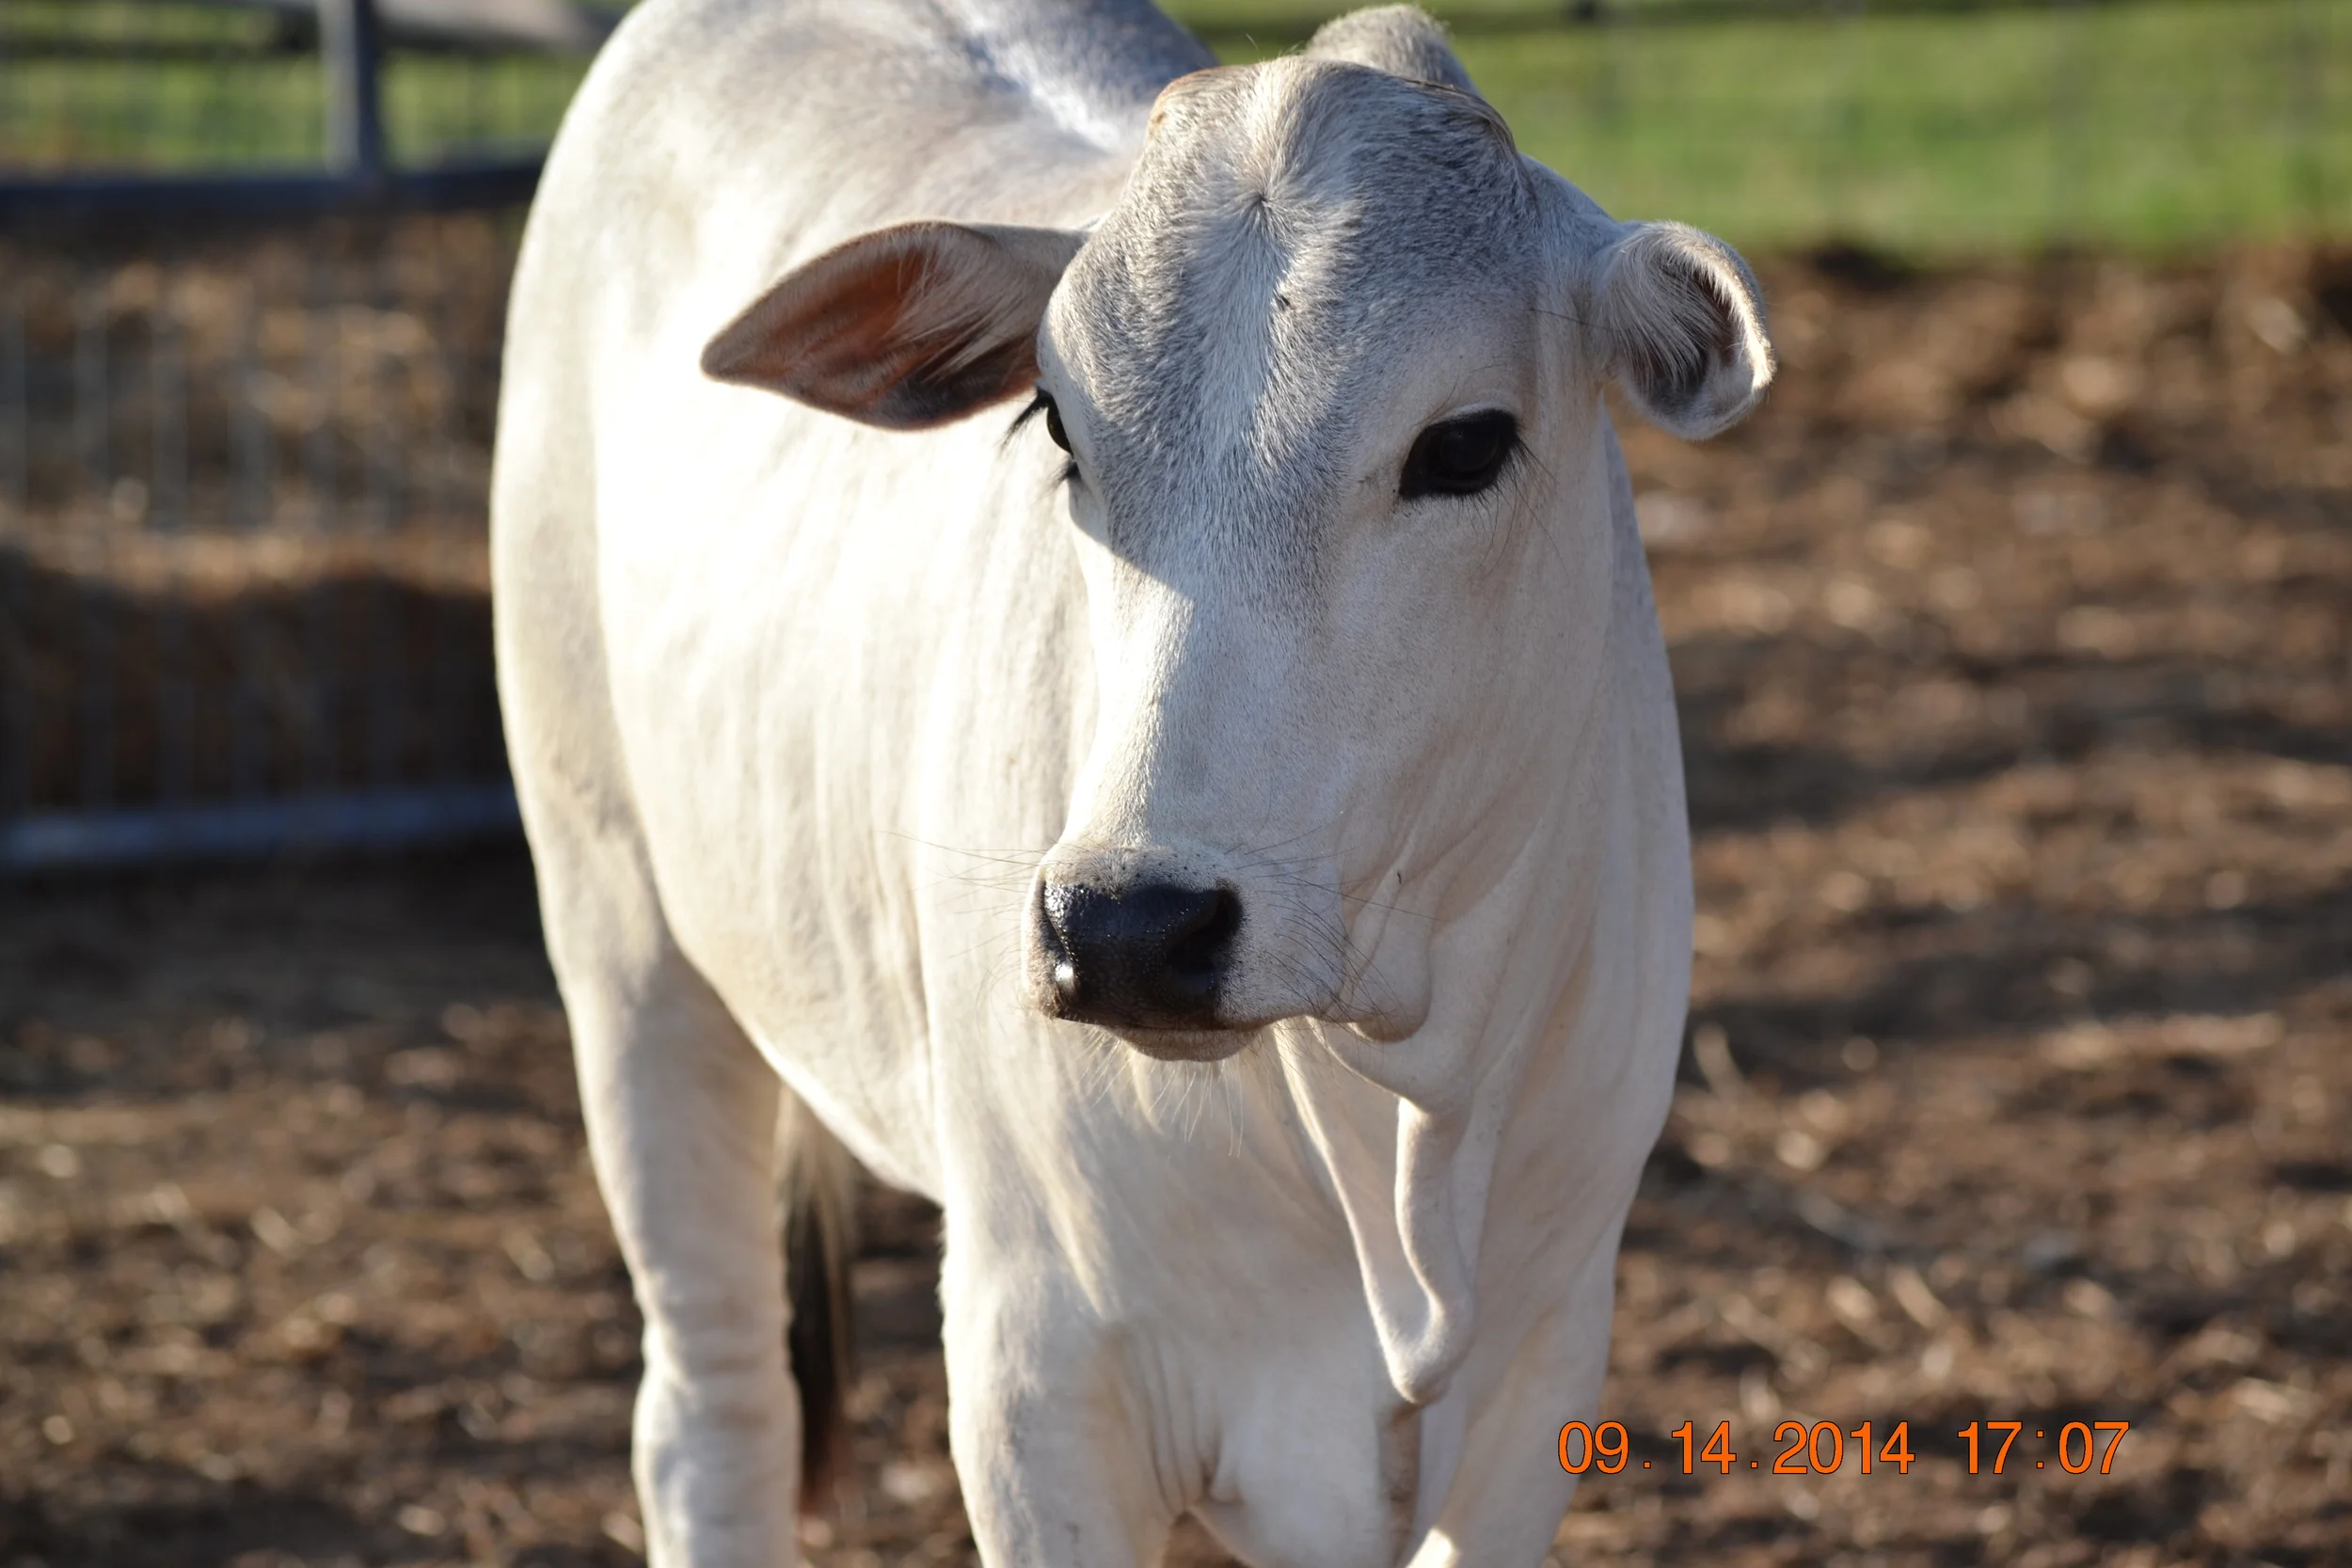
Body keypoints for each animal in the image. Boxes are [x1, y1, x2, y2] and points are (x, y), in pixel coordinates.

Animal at [490, 0, 1772, 1563]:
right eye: (1057, 426)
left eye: (1465, 443)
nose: (1126, 927)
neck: (1398, 1126)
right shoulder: (1036, 1379)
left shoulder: (1545, 1369)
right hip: (625, 936)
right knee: (713, 1405)